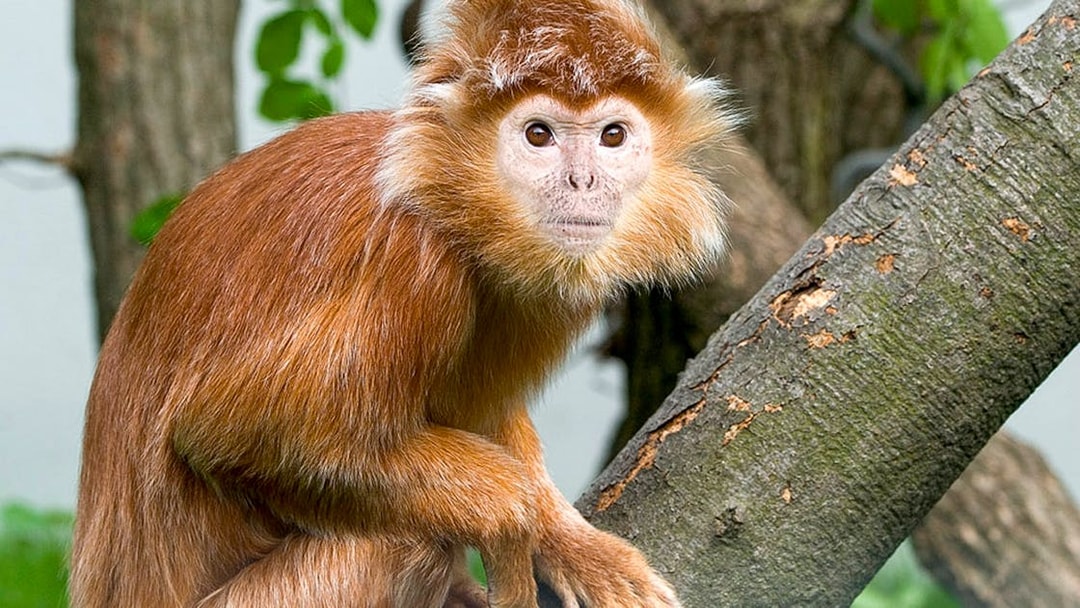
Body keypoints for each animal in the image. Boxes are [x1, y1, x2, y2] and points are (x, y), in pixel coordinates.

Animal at [69, 0, 732, 606]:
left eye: (612, 136)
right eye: (538, 135)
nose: (584, 181)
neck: (438, 197)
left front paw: (575, 548)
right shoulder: (412, 265)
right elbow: (237, 434)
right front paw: (509, 512)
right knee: (401, 540)